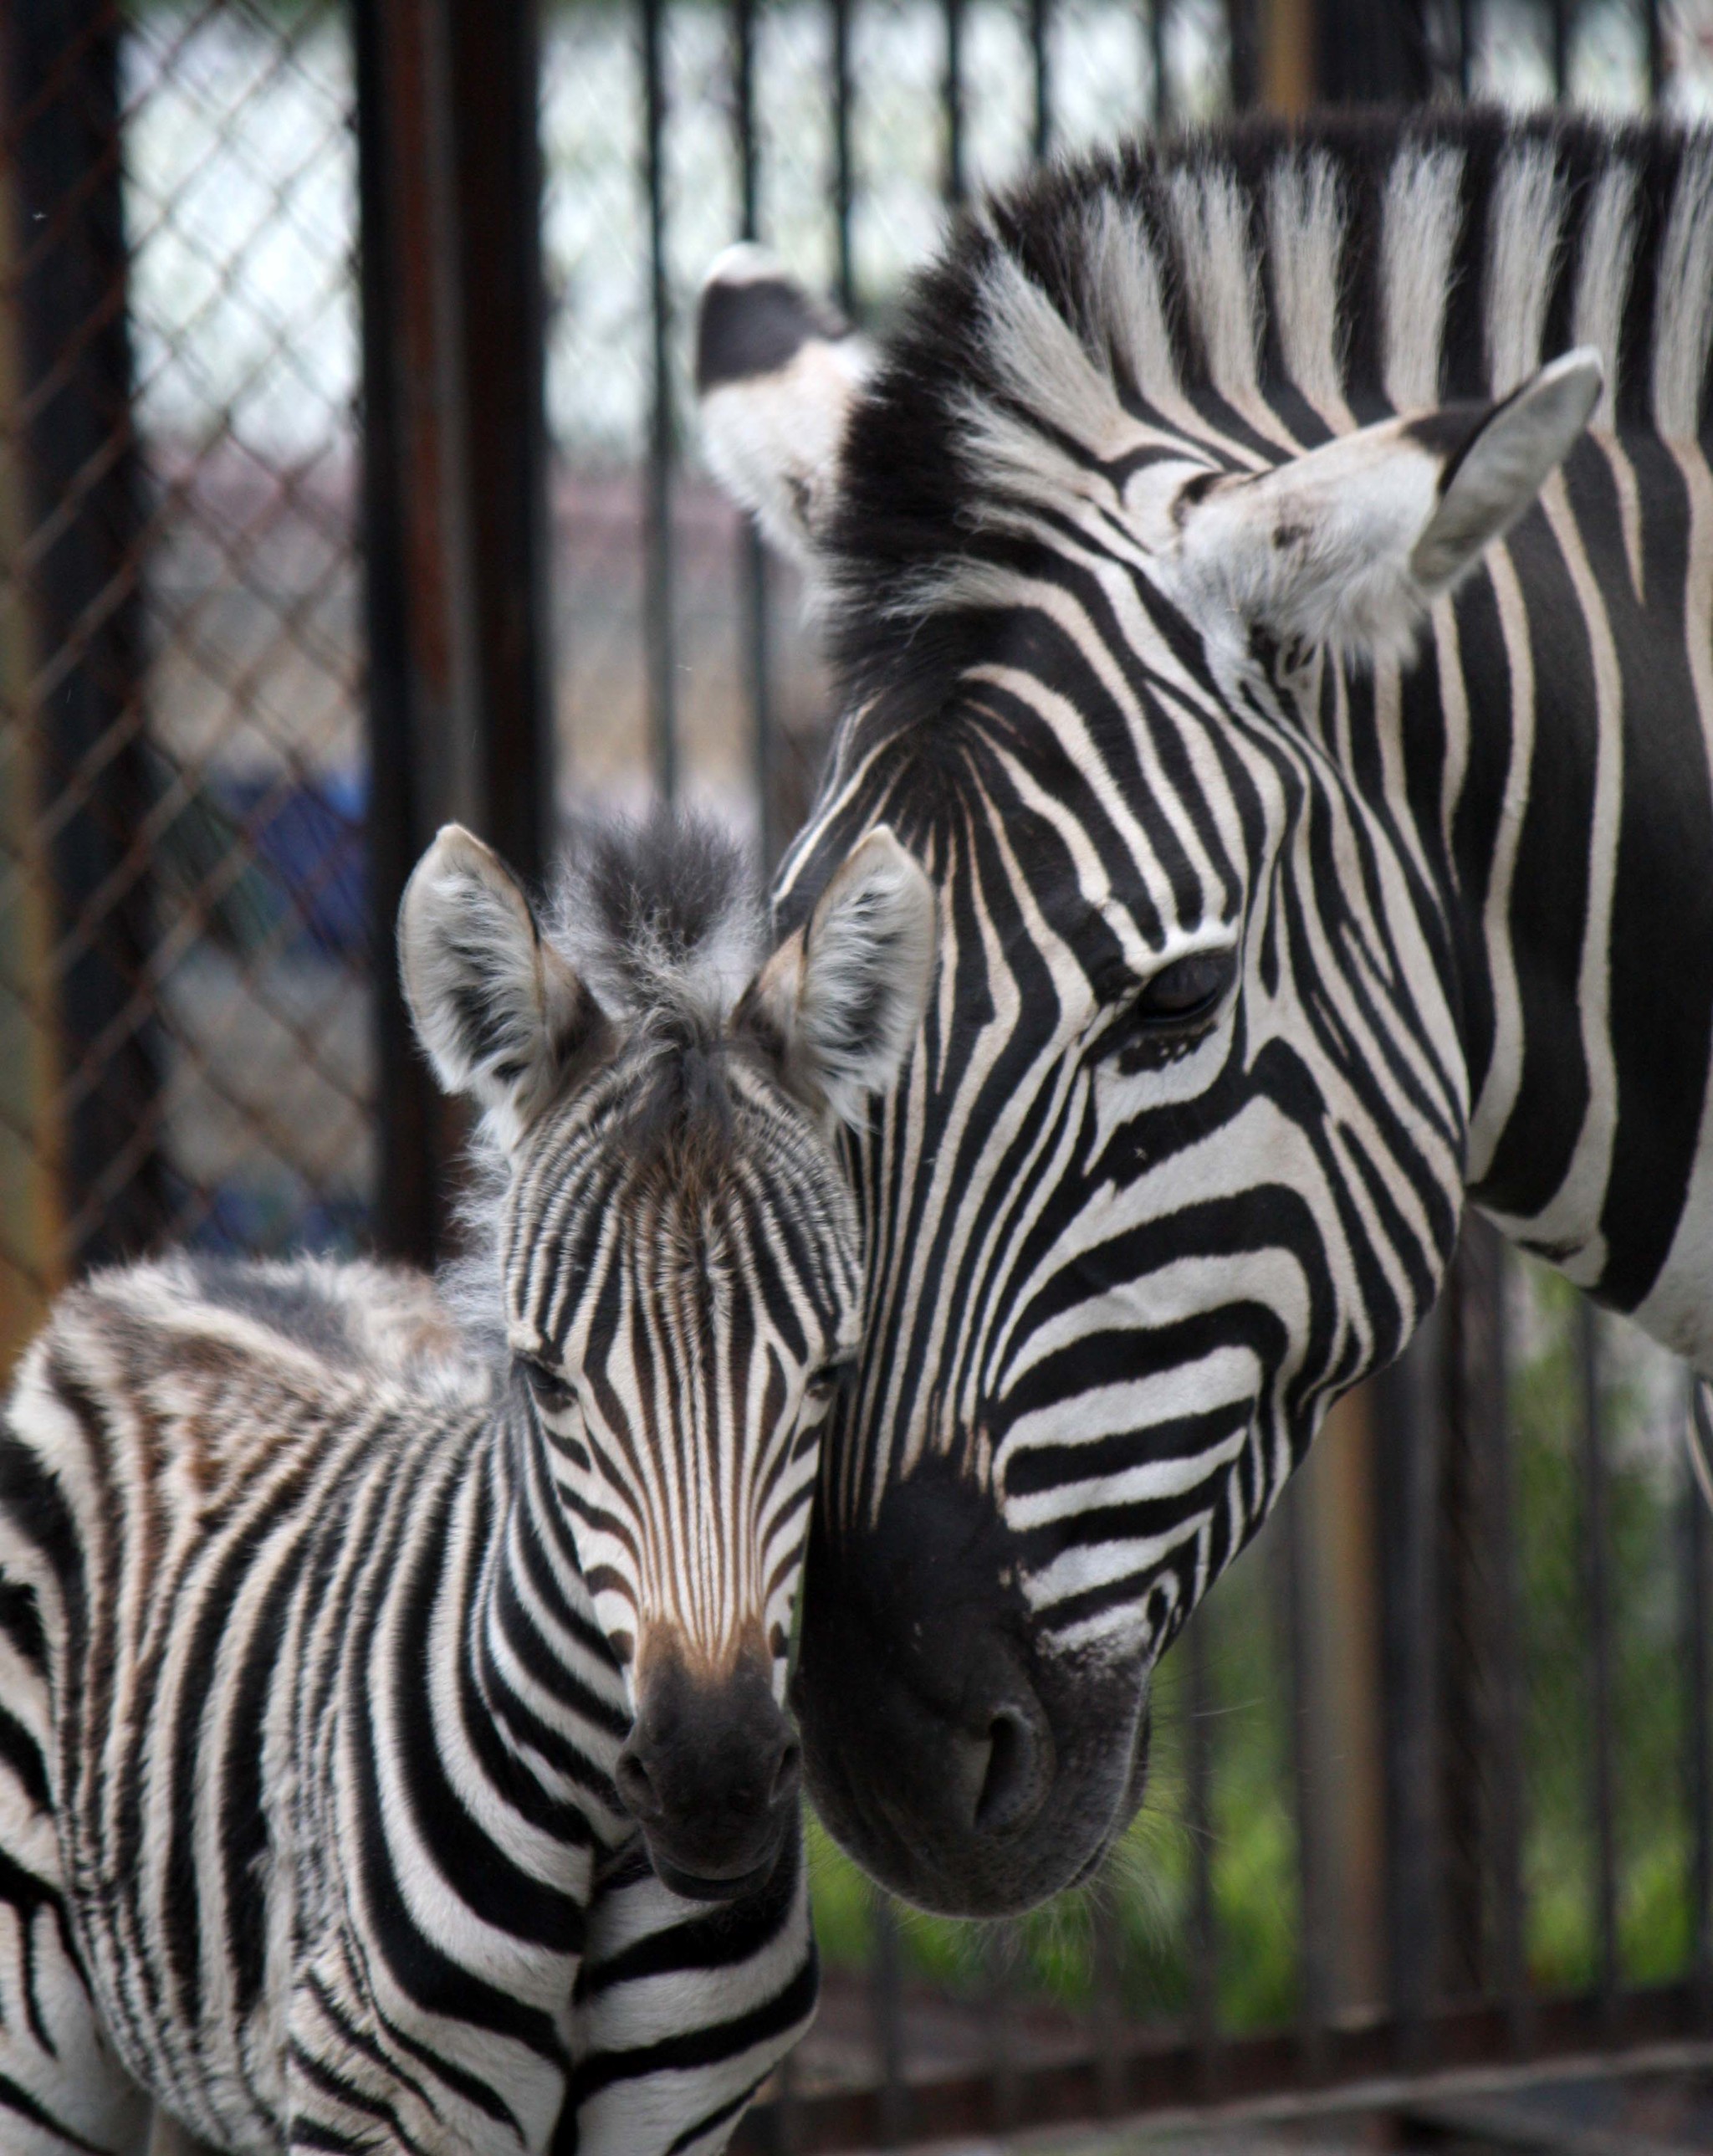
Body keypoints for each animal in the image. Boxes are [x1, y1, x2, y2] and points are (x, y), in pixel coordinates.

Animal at [0, 810, 939, 2156]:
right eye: (544, 1378)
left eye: (833, 1373)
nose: (712, 1787)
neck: (600, 1831)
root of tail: (175, 1269)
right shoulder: (379, 2104)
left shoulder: (678, 2115)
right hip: (43, 2036)